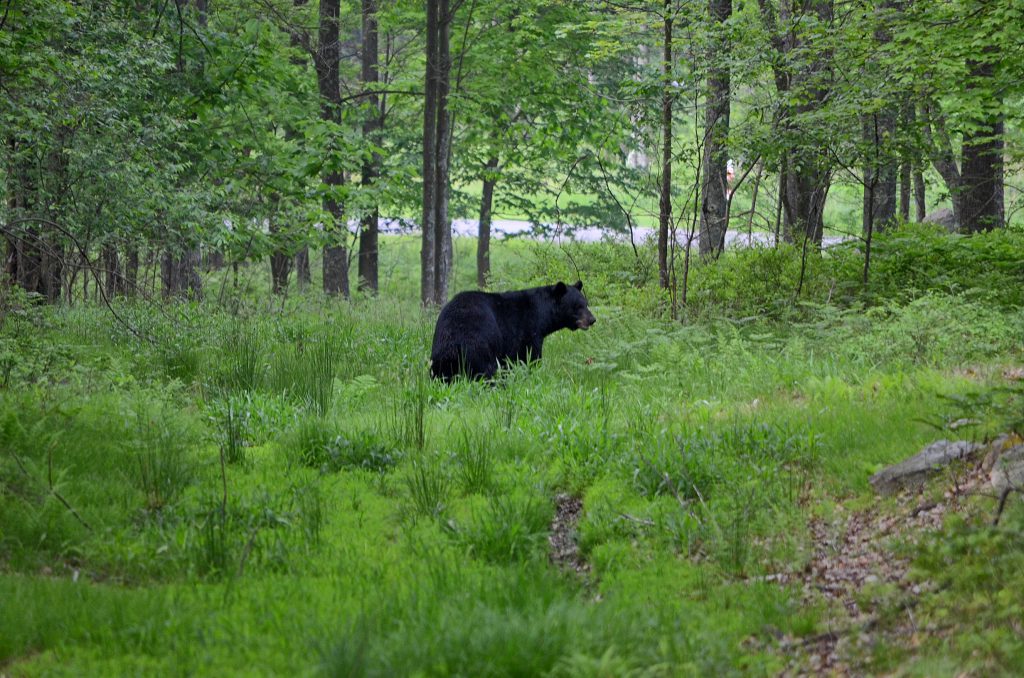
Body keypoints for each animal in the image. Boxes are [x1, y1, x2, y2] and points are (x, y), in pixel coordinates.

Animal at [430, 280, 593, 383]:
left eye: (586, 303)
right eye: (578, 306)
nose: (592, 319)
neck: (542, 314)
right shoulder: (527, 331)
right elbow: (529, 357)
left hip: (442, 350)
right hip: (479, 340)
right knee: (486, 369)